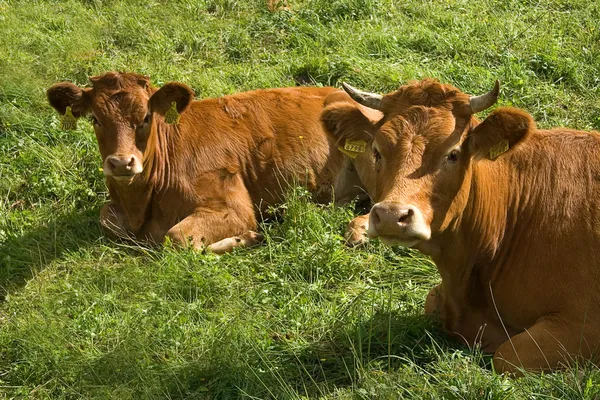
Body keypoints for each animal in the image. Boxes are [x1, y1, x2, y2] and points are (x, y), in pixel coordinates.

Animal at [48, 72, 370, 253]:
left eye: (146, 117)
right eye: (95, 119)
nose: (121, 163)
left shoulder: (234, 206)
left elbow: (176, 238)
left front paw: (246, 238)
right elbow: (106, 218)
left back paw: (359, 230)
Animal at [324, 79, 600, 376]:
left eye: (453, 154)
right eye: (377, 151)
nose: (390, 215)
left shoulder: (582, 322)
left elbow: (506, 356)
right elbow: (432, 300)